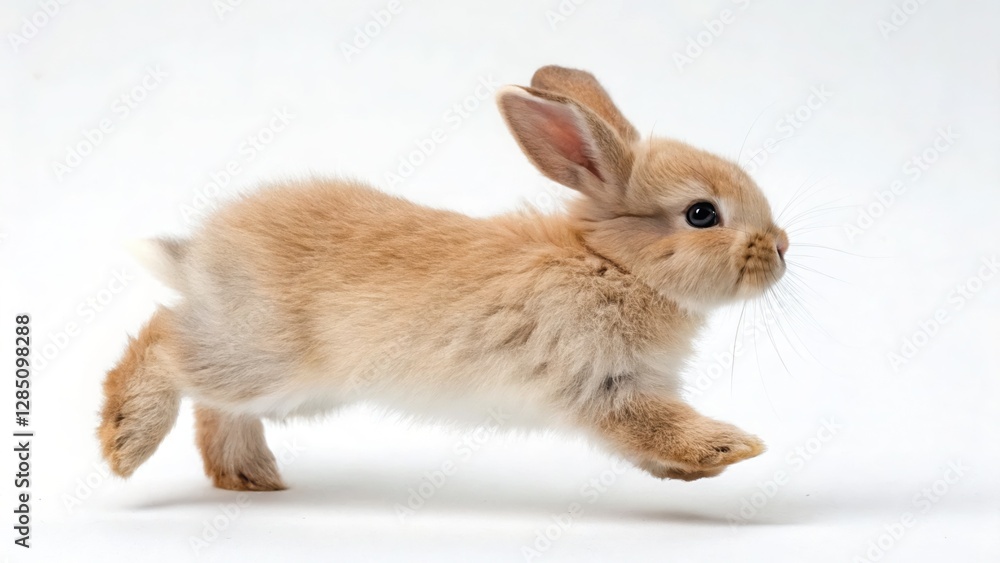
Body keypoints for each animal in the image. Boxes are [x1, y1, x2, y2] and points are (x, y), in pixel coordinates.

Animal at [98, 65, 789, 492]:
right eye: (701, 214)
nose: (781, 249)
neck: (613, 264)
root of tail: (198, 256)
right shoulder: (603, 382)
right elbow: (656, 424)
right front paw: (735, 448)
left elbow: (643, 442)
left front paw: (698, 473)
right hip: (261, 357)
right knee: (164, 341)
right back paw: (124, 442)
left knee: (213, 404)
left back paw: (250, 478)